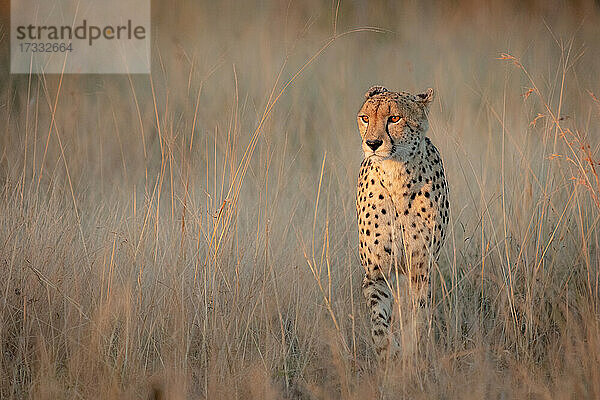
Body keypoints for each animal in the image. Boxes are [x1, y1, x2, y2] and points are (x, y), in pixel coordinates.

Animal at [354, 85, 448, 362]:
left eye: (394, 118)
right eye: (365, 118)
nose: (373, 144)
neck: (396, 176)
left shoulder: (421, 269)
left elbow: (418, 316)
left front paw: (411, 350)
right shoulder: (377, 273)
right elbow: (378, 320)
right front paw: (388, 350)